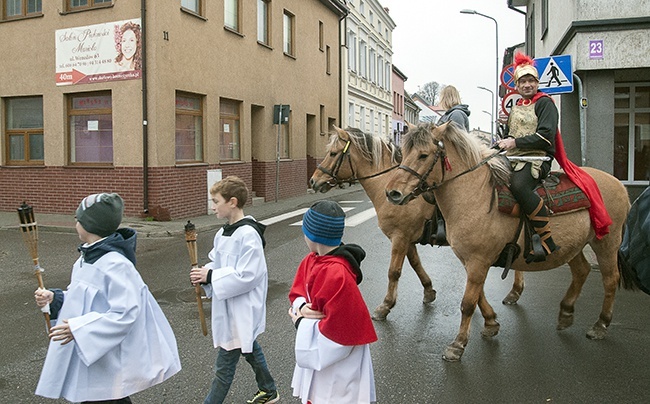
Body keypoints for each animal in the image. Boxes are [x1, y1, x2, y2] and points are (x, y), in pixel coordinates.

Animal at [308, 128, 528, 320]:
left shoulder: (400, 237)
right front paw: (429, 290)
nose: (313, 181)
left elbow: (394, 272)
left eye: (333, 153)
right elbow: (415, 264)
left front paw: (385, 306)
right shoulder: (408, 239)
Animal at [382, 121, 632, 362]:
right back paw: (566, 313)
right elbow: (478, 296)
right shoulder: (471, 261)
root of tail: (619, 184)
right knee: (582, 270)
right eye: (403, 152)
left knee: (610, 279)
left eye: (423, 155)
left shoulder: (478, 260)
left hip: (606, 242)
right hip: (574, 245)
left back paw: (600, 324)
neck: (474, 195)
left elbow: (468, 303)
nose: (392, 193)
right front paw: (491, 324)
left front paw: (458, 345)